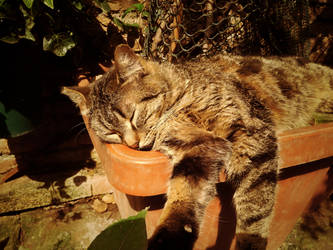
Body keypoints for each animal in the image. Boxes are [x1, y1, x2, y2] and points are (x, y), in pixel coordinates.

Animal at [63, 44, 332, 249]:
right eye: (112, 134)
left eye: (132, 116)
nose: (133, 144)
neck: (180, 103)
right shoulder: (199, 146)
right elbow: (184, 193)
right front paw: (170, 237)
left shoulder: (251, 136)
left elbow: (255, 211)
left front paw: (250, 241)